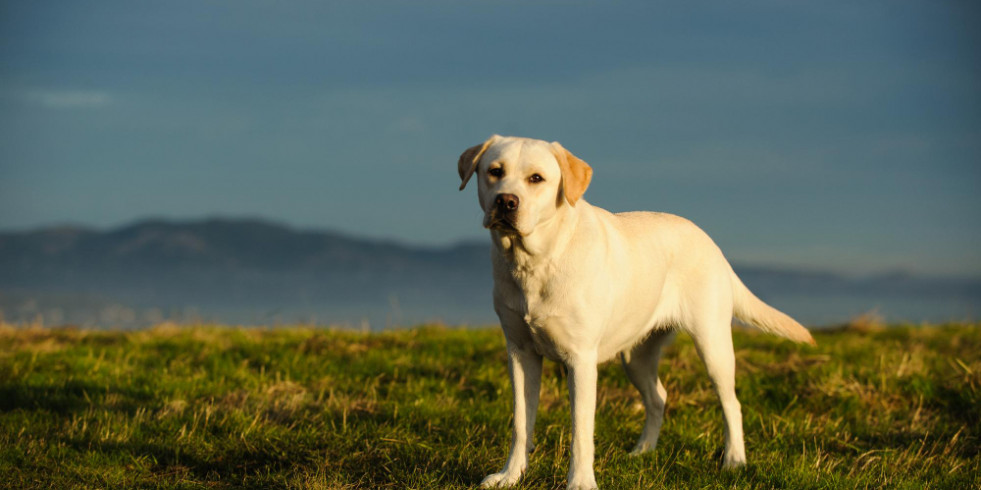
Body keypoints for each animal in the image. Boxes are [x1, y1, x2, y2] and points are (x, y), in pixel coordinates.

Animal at [456, 135, 816, 490]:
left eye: (536, 178)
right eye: (495, 171)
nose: (506, 201)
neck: (535, 260)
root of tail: (711, 243)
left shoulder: (580, 359)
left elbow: (581, 432)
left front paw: (581, 482)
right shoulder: (520, 353)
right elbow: (521, 422)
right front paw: (510, 476)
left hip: (712, 344)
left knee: (732, 403)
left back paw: (734, 460)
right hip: (635, 357)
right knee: (658, 397)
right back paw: (643, 451)